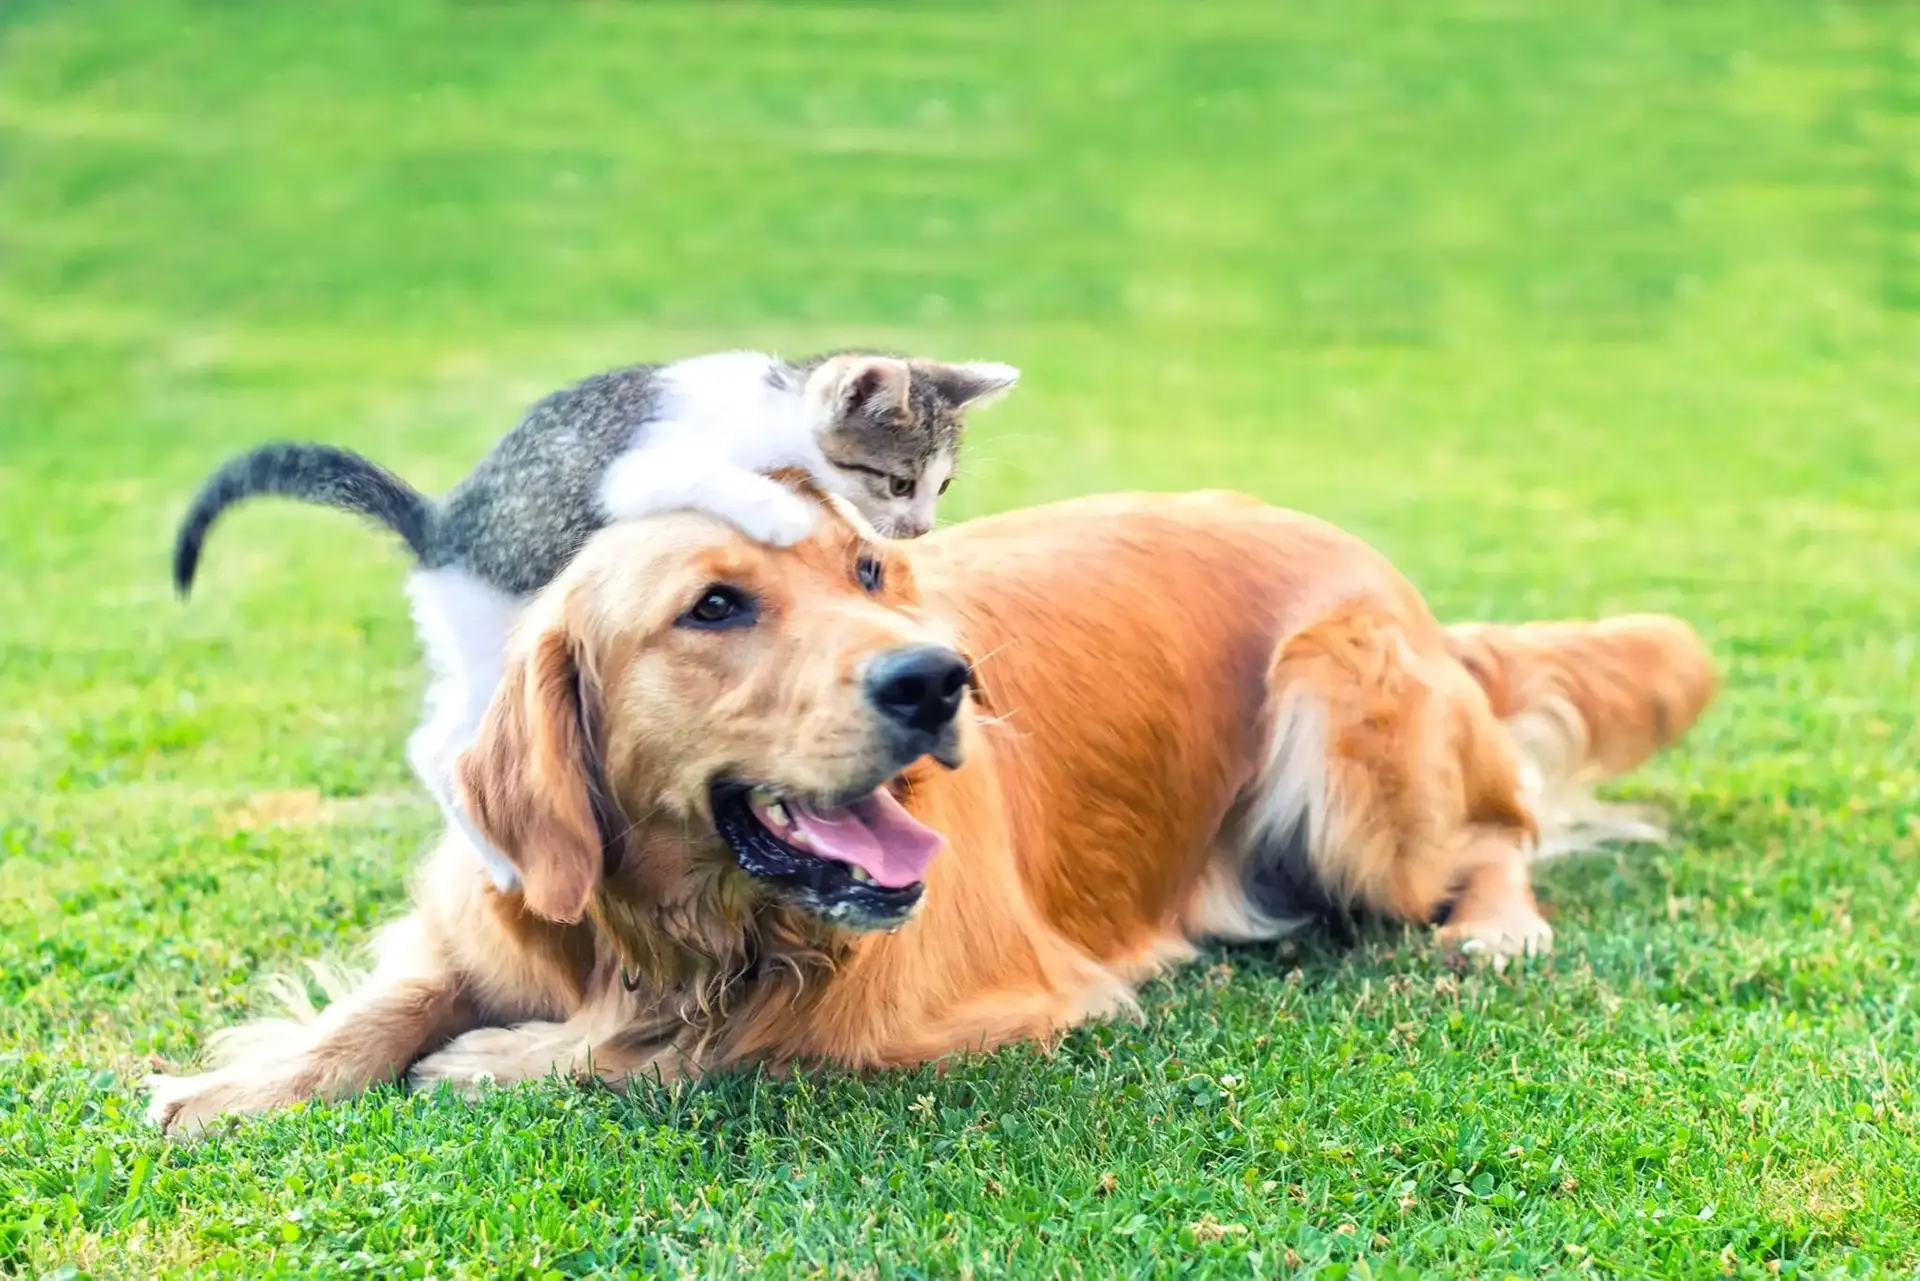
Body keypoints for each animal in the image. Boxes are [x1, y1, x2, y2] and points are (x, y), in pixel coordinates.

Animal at [142, 480, 1720, 1129]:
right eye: (714, 605)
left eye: (868, 573)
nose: (936, 679)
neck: (687, 926)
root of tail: (1398, 579)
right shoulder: (495, 903)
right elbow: (388, 1000)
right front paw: (238, 1083)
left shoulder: (972, 998)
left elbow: (714, 1048)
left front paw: (501, 1062)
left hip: (1349, 737)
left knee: (1502, 832)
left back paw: (1496, 928)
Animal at [174, 351, 1021, 891]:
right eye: (901, 481)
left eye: (941, 486)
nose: (917, 526)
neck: (774, 409)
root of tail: (440, 524)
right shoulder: (638, 470)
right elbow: (713, 479)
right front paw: (773, 510)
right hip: (494, 632)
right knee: (444, 748)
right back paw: (501, 860)